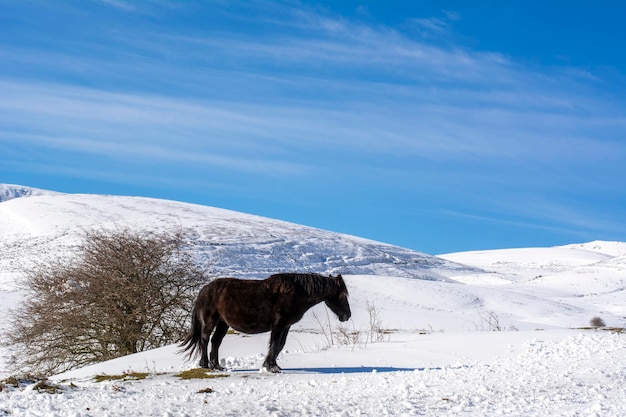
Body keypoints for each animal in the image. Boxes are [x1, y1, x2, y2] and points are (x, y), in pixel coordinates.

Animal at [180, 272, 348, 372]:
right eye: (343, 296)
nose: (347, 315)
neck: (296, 293)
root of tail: (204, 289)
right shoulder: (279, 325)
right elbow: (275, 343)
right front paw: (271, 367)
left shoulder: (286, 326)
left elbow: (280, 345)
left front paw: (272, 364)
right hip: (210, 321)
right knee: (205, 339)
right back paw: (205, 364)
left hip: (223, 323)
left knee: (216, 341)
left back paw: (217, 366)